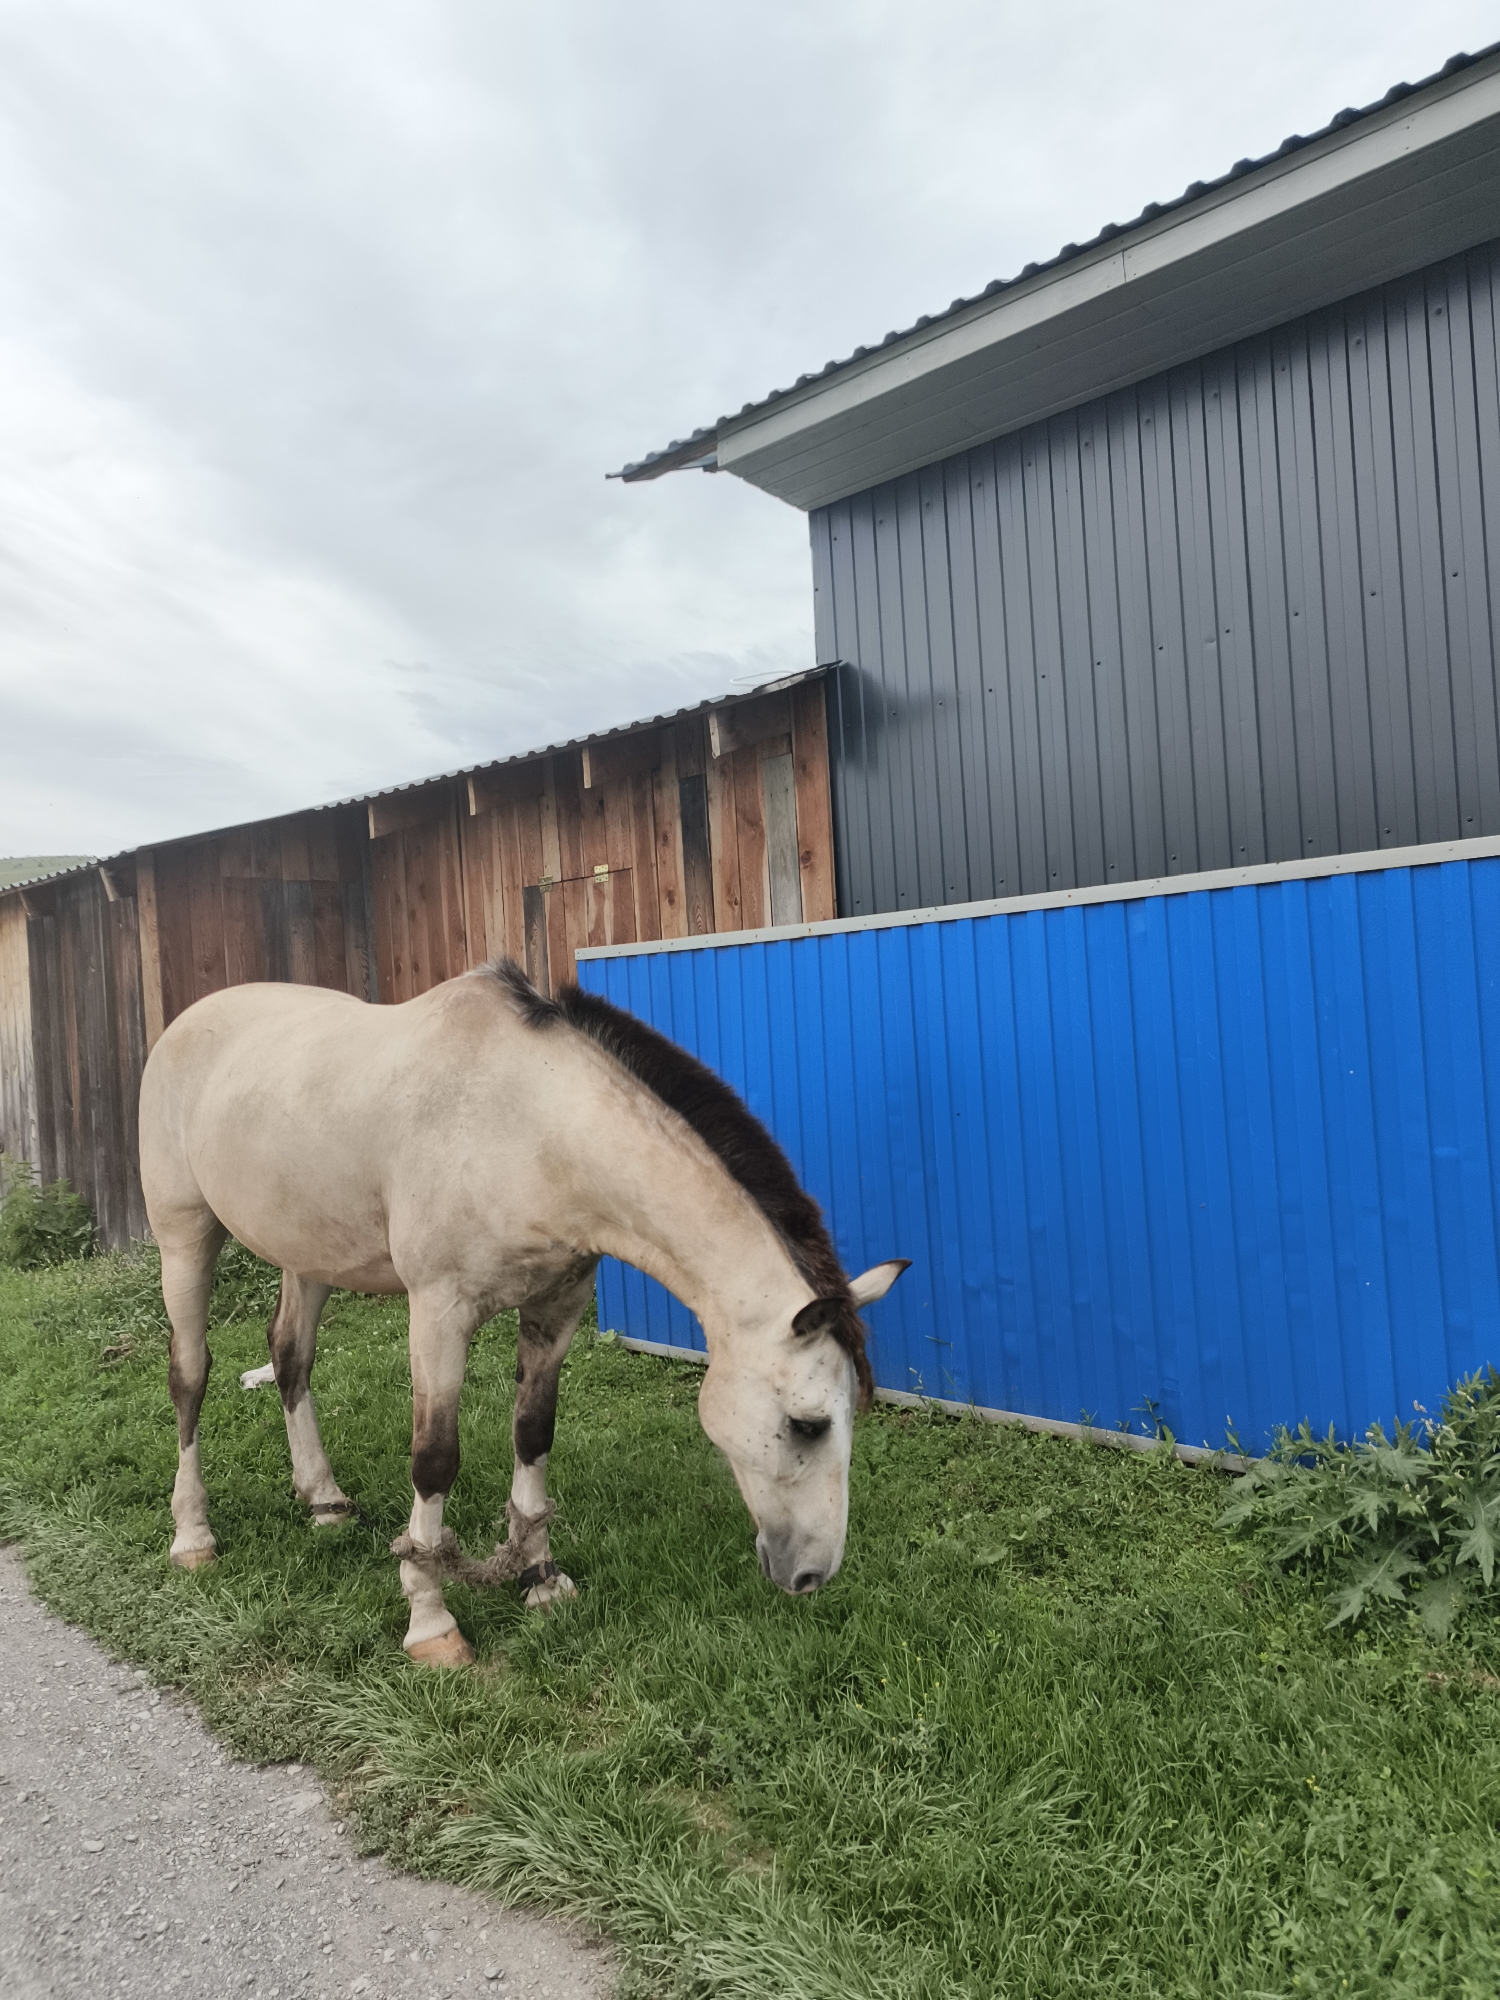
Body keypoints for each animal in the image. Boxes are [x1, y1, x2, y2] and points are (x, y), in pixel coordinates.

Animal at [137, 959, 908, 1664]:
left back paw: (323, 1500)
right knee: (189, 1376)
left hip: (310, 1254)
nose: (812, 1574)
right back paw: (193, 1536)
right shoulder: (439, 1314)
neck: (528, 1126)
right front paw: (431, 1620)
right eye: (807, 1424)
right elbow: (434, 1460)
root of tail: (185, 1023)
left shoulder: (555, 1307)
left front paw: (539, 1576)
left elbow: (534, 1432)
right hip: (185, 1237)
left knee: (291, 1356)